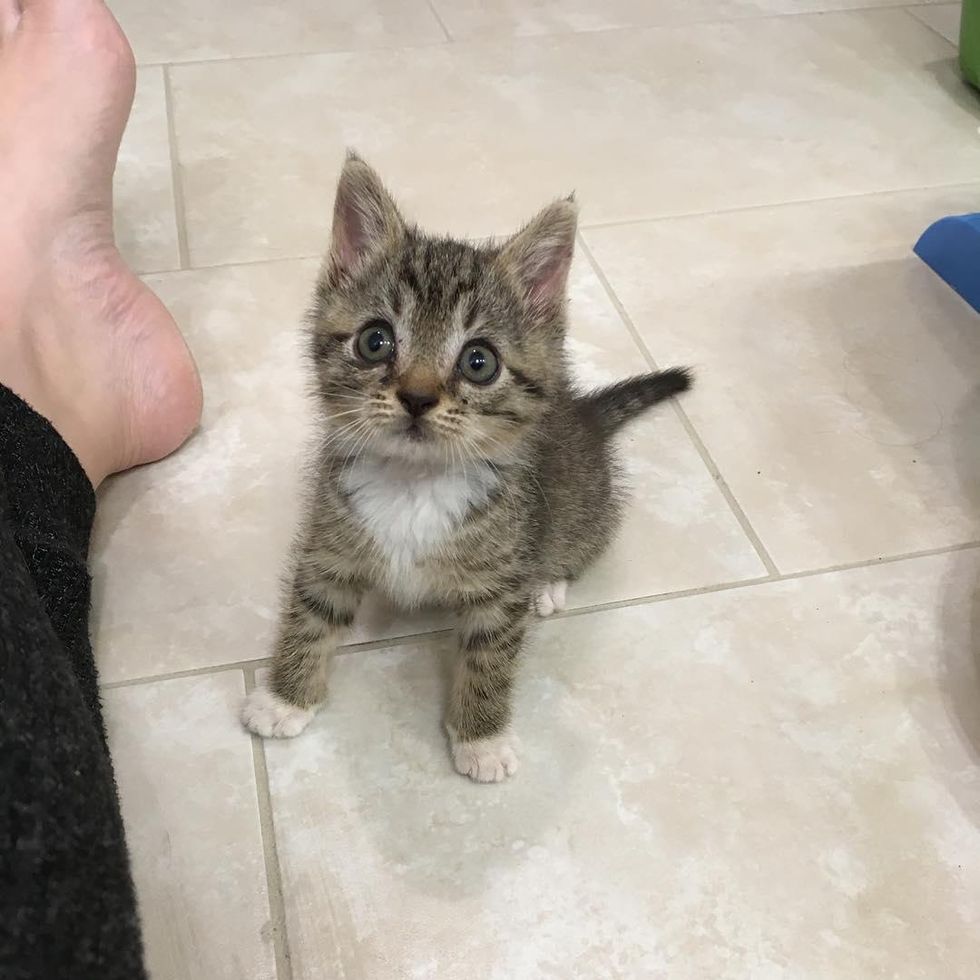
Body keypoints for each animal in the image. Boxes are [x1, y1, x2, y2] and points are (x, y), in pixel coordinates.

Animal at [243, 153, 688, 780]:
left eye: (479, 362)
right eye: (375, 341)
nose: (417, 397)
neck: (416, 480)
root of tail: (583, 412)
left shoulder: (501, 581)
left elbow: (489, 657)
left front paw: (482, 738)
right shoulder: (329, 539)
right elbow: (311, 609)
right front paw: (285, 697)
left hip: (586, 508)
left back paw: (549, 583)